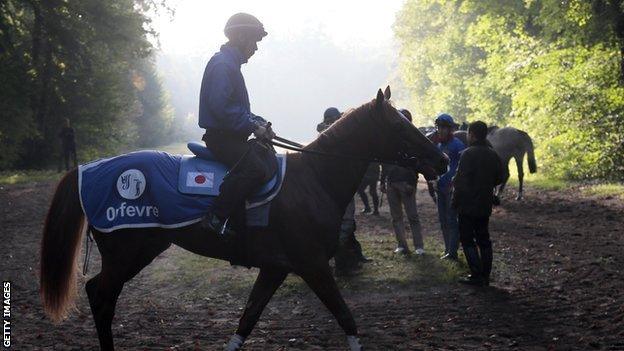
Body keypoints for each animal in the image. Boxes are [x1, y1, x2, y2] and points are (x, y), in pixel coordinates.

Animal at [40, 86, 448, 350]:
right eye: (399, 125)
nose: (442, 159)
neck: (314, 178)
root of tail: (88, 170)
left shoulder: (276, 267)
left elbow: (248, 319)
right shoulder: (313, 264)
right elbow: (345, 316)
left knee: (100, 294)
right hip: (127, 253)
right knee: (101, 297)